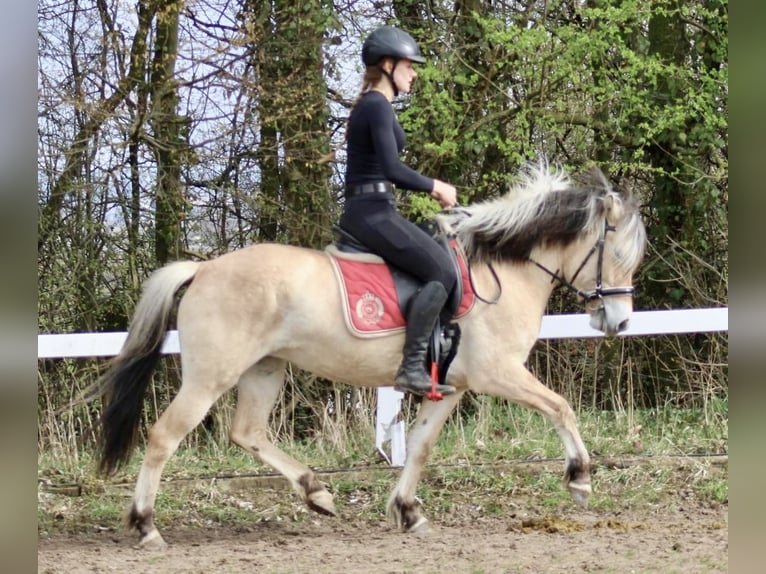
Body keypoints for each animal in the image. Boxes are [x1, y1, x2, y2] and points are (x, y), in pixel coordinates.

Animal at [90, 162, 647, 548]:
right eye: (618, 256)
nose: (619, 322)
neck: (500, 273)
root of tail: (203, 268)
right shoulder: (499, 373)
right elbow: (561, 407)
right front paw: (580, 479)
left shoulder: (453, 385)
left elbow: (420, 445)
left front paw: (408, 511)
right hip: (211, 376)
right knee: (164, 437)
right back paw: (146, 527)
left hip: (263, 370)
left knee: (247, 432)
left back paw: (316, 491)